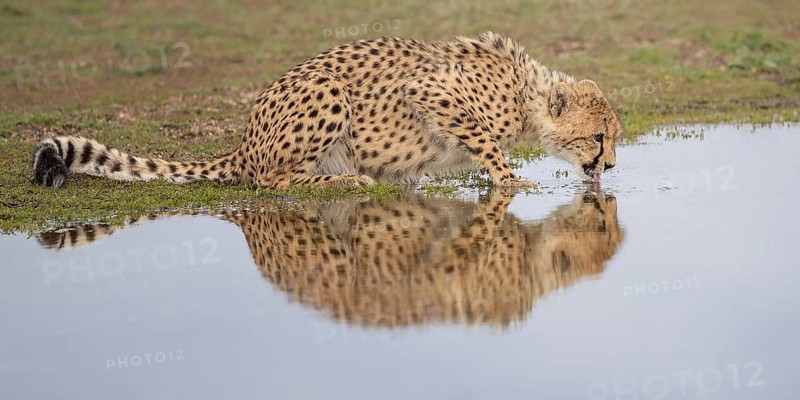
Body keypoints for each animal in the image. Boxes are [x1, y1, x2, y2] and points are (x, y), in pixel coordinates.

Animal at [31, 32, 621, 189]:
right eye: (599, 138)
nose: (611, 165)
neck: (526, 94)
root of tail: (243, 142)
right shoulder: (431, 91)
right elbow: (485, 143)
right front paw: (511, 180)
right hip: (329, 92)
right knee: (274, 181)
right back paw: (346, 181)